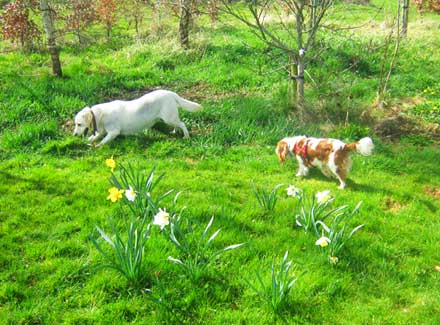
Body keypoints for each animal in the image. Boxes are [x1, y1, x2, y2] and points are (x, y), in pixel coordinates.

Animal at [73, 88, 202, 145]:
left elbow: (103, 141)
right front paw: (89, 140)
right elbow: (95, 137)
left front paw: (96, 146)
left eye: (79, 124)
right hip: (170, 118)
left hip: (169, 118)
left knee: (182, 124)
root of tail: (171, 93)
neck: (99, 115)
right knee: (178, 124)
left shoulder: (114, 132)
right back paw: (175, 132)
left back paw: (186, 136)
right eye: (75, 124)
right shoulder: (102, 131)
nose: (74, 135)